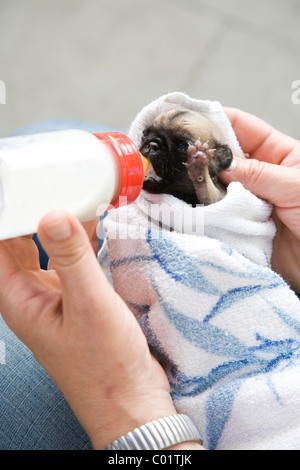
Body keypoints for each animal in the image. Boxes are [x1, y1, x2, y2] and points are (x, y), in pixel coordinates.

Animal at [101, 93, 300, 450]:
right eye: (147, 133)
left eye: (182, 146)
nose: (150, 145)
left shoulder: (212, 200)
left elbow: (206, 188)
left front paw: (197, 167)